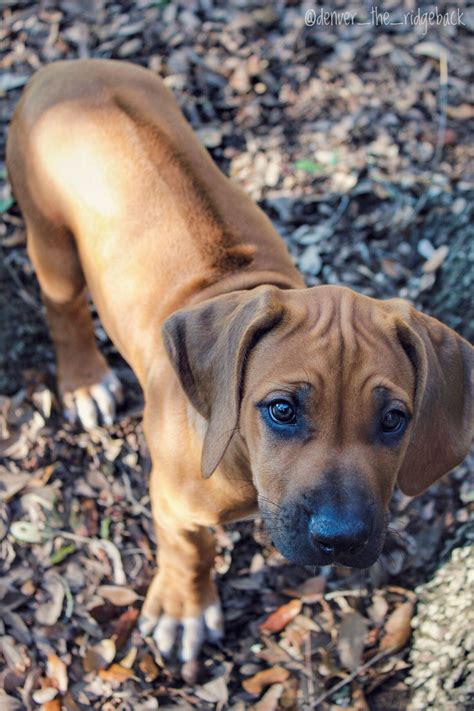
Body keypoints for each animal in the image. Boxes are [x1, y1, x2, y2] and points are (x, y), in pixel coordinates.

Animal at [5, 59, 472, 660]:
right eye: (282, 411)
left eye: (394, 420)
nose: (341, 539)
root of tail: (69, 66)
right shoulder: (172, 500)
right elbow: (190, 551)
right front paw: (185, 610)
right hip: (50, 237)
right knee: (62, 306)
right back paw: (86, 381)